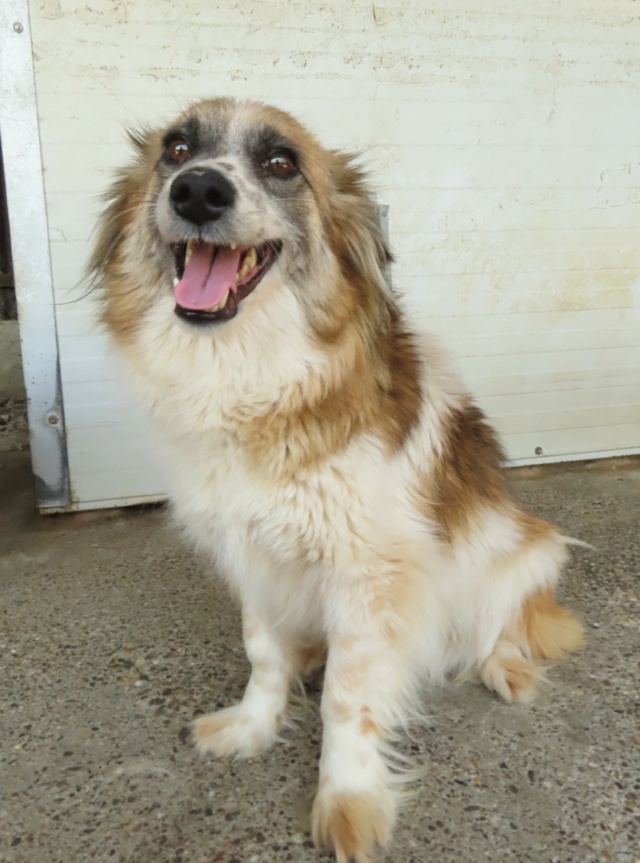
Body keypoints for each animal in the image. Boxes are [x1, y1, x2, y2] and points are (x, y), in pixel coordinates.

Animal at [91, 99, 584, 863]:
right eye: (175, 149)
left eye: (281, 162)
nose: (197, 190)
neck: (252, 381)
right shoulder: (251, 550)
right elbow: (263, 653)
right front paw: (255, 724)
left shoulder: (366, 572)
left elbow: (348, 699)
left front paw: (347, 798)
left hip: (524, 546)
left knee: (503, 622)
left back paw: (505, 666)